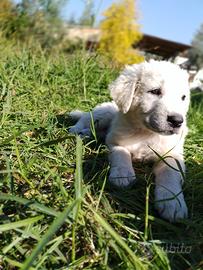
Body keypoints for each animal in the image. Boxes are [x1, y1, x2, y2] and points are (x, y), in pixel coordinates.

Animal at [70, 60, 190, 223]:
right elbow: (121, 153)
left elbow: (170, 173)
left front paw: (172, 202)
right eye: (155, 91)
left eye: (183, 97)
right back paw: (77, 130)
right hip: (103, 114)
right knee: (85, 119)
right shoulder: (115, 140)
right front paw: (123, 174)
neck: (146, 133)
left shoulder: (172, 154)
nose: (177, 121)